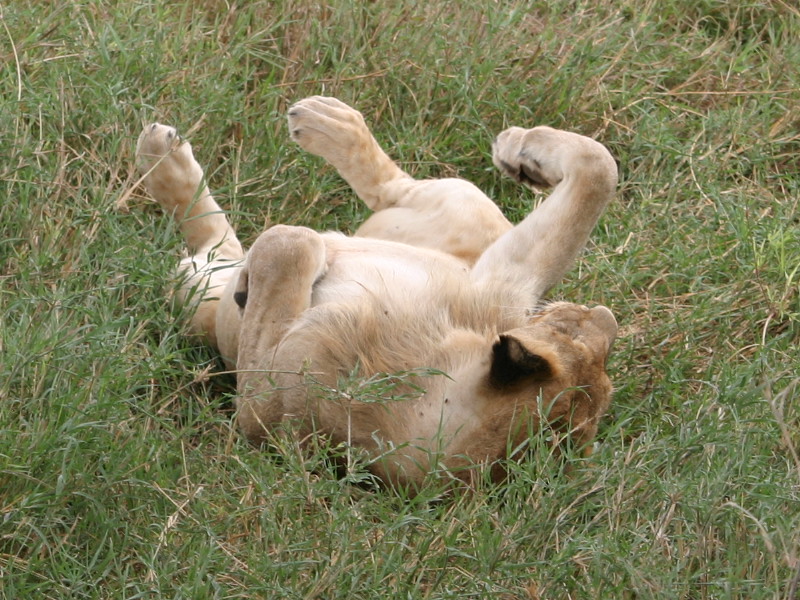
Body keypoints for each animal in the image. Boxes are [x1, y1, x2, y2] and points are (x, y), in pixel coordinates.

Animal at [134, 96, 620, 490]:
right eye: (578, 329)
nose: (602, 314)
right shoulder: (503, 284)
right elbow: (598, 170)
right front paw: (527, 151)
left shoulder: (270, 407)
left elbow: (284, 246)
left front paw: (290, 251)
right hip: (466, 208)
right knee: (395, 187)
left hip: (195, 298)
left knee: (214, 250)